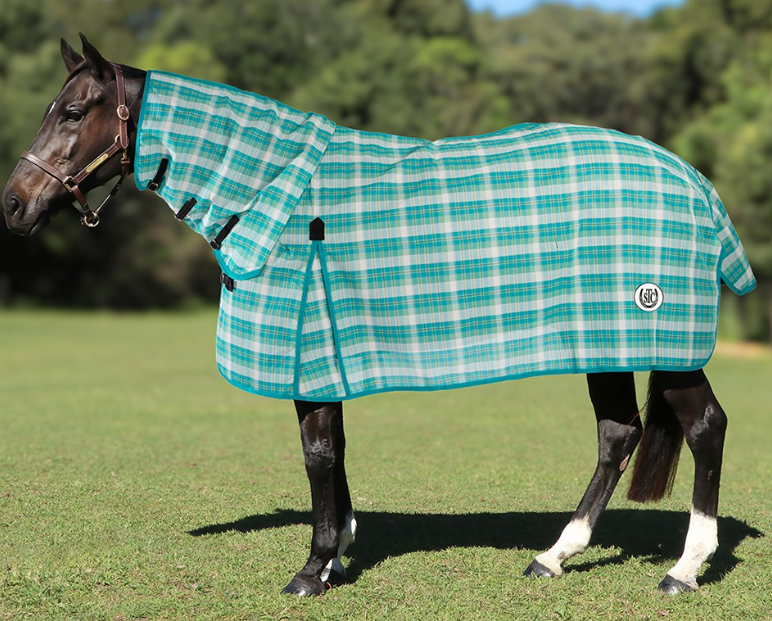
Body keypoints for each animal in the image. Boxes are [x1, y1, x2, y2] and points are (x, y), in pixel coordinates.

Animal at [1, 35, 757, 597]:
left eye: (75, 113)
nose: (13, 204)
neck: (272, 190)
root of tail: (698, 186)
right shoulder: (324, 354)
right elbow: (334, 452)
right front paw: (337, 551)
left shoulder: (306, 351)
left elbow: (317, 453)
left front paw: (312, 568)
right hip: (608, 341)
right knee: (617, 434)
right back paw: (554, 555)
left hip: (660, 338)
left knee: (705, 427)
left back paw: (685, 568)